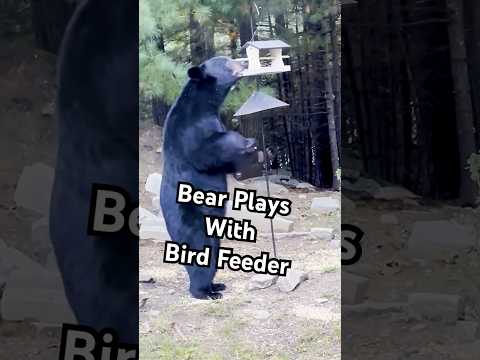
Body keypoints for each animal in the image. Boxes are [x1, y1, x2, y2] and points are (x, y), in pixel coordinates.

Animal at [160, 55, 258, 298]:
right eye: (227, 62)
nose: (244, 62)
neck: (204, 104)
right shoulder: (188, 130)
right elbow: (208, 150)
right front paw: (247, 142)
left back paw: (215, 285)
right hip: (191, 218)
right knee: (200, 251)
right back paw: (204, 291)